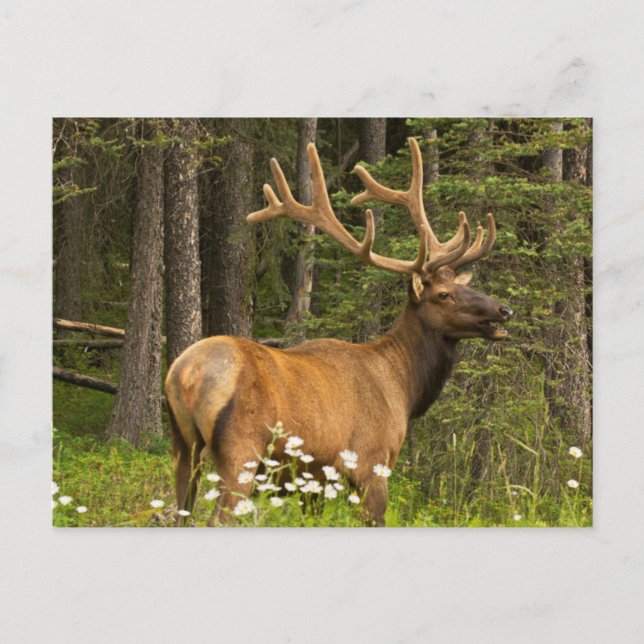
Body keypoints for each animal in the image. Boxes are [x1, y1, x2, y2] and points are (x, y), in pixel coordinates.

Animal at [165, 137, 513, 526]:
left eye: (462, 286)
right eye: (444, 294)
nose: (503, 310)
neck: (403, 386)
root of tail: (186, 374)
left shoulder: (313, 480)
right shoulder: (372, 463)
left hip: (183, 447)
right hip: (241, 451)